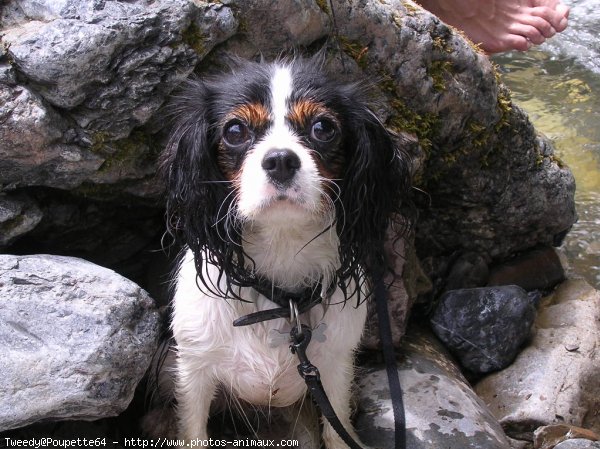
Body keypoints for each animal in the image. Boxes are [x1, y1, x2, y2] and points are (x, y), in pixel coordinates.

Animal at [159, 54, 410, 446]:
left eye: (323, 127)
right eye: (235, 131)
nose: (280, 159)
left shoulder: (335, 371)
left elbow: (338, 431)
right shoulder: (193, 370)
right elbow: (194, 430)